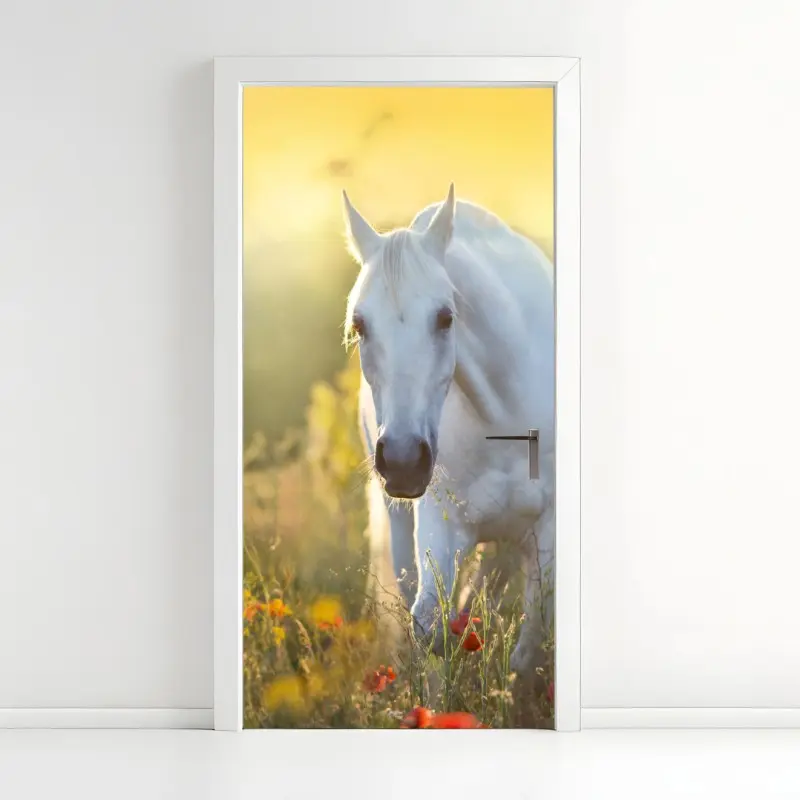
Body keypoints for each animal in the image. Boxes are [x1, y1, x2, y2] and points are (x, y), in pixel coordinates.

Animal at [341, 184, 554, 675]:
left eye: (445, 317)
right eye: (360, 325)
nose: (403, 460)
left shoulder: (547, 531)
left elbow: (527, 649)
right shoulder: (441, 520)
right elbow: (430, 626)